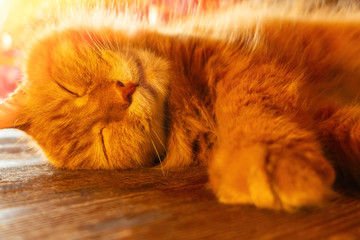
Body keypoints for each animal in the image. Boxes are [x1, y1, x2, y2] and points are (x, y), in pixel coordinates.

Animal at [0, 1, 360, 211]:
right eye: (103, 138)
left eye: (72, 89)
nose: (125, 93)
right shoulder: (322, 117)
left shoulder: (236, 60)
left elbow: (250, 107)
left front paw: (266, 156)